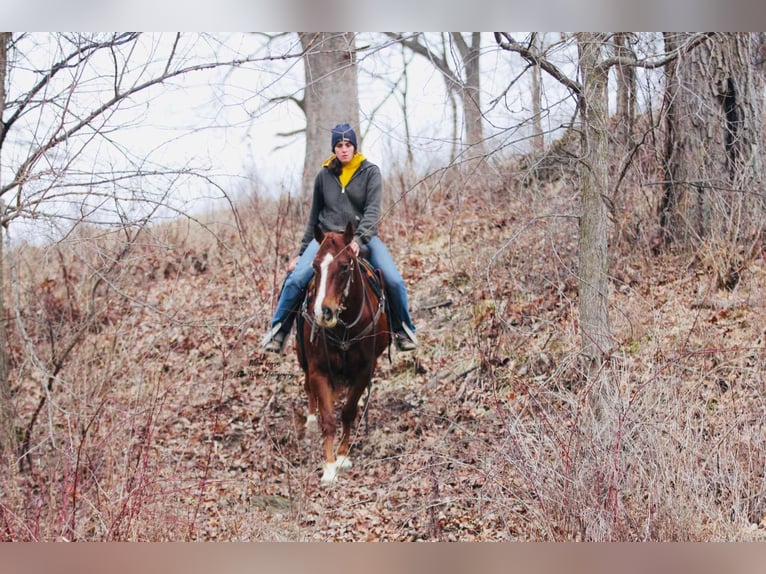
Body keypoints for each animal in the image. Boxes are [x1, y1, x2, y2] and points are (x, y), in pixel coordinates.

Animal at [296, 223, 390, 488]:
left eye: (345, 266)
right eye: (315, 266)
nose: (323, 312)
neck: (344, 328)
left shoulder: (365, 369)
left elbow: (347, 412)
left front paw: (342, 457)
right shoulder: (319, 370)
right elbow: (328, 418)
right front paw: (328, 467)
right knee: (308, 388)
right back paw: (310, 420)